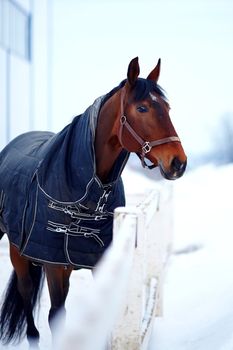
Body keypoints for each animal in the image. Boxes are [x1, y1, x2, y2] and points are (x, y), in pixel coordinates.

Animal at [0, 56, 186, 346]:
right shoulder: (54, 266)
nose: (178, 163)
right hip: (17, 251)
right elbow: (56, 317)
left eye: (167, 107)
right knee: (26, 293)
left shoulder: (99, 264)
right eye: (142, 108)